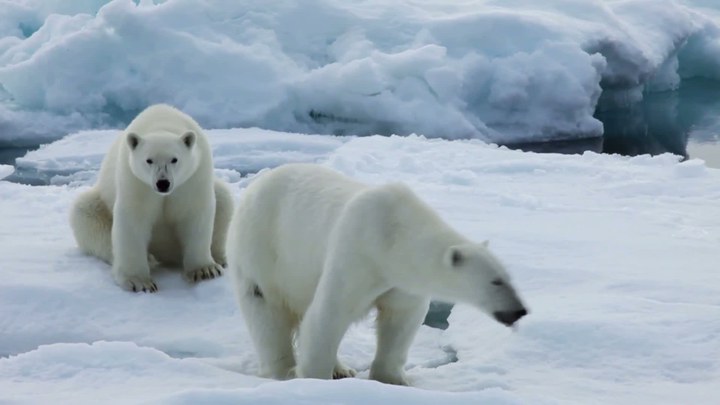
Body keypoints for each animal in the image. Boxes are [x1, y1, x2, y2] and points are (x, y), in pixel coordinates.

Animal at [70, 104, 233, 292]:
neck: (161, 123)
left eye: (174, 159)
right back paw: (149, 258)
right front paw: (139, 281)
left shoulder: (193, 178)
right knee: (87, 216)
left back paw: (220, 259)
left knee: (224, 199)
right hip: (98, 203)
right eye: (149, 160)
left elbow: (195, 213)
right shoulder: (136, 181)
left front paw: (205, 270)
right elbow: (133, 219)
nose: (163, 183)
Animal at [226, 163, 528, 384]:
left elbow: (401, 319)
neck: (393, 235)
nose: (520, 310)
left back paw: (341, 368)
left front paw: (393, 380)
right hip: (262, 250)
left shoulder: (402, 279)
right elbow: (329, 315)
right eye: (496, 281)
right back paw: (283, 372)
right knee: (267, 312)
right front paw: (314, 380)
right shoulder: (357, 253)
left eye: (510, 277)